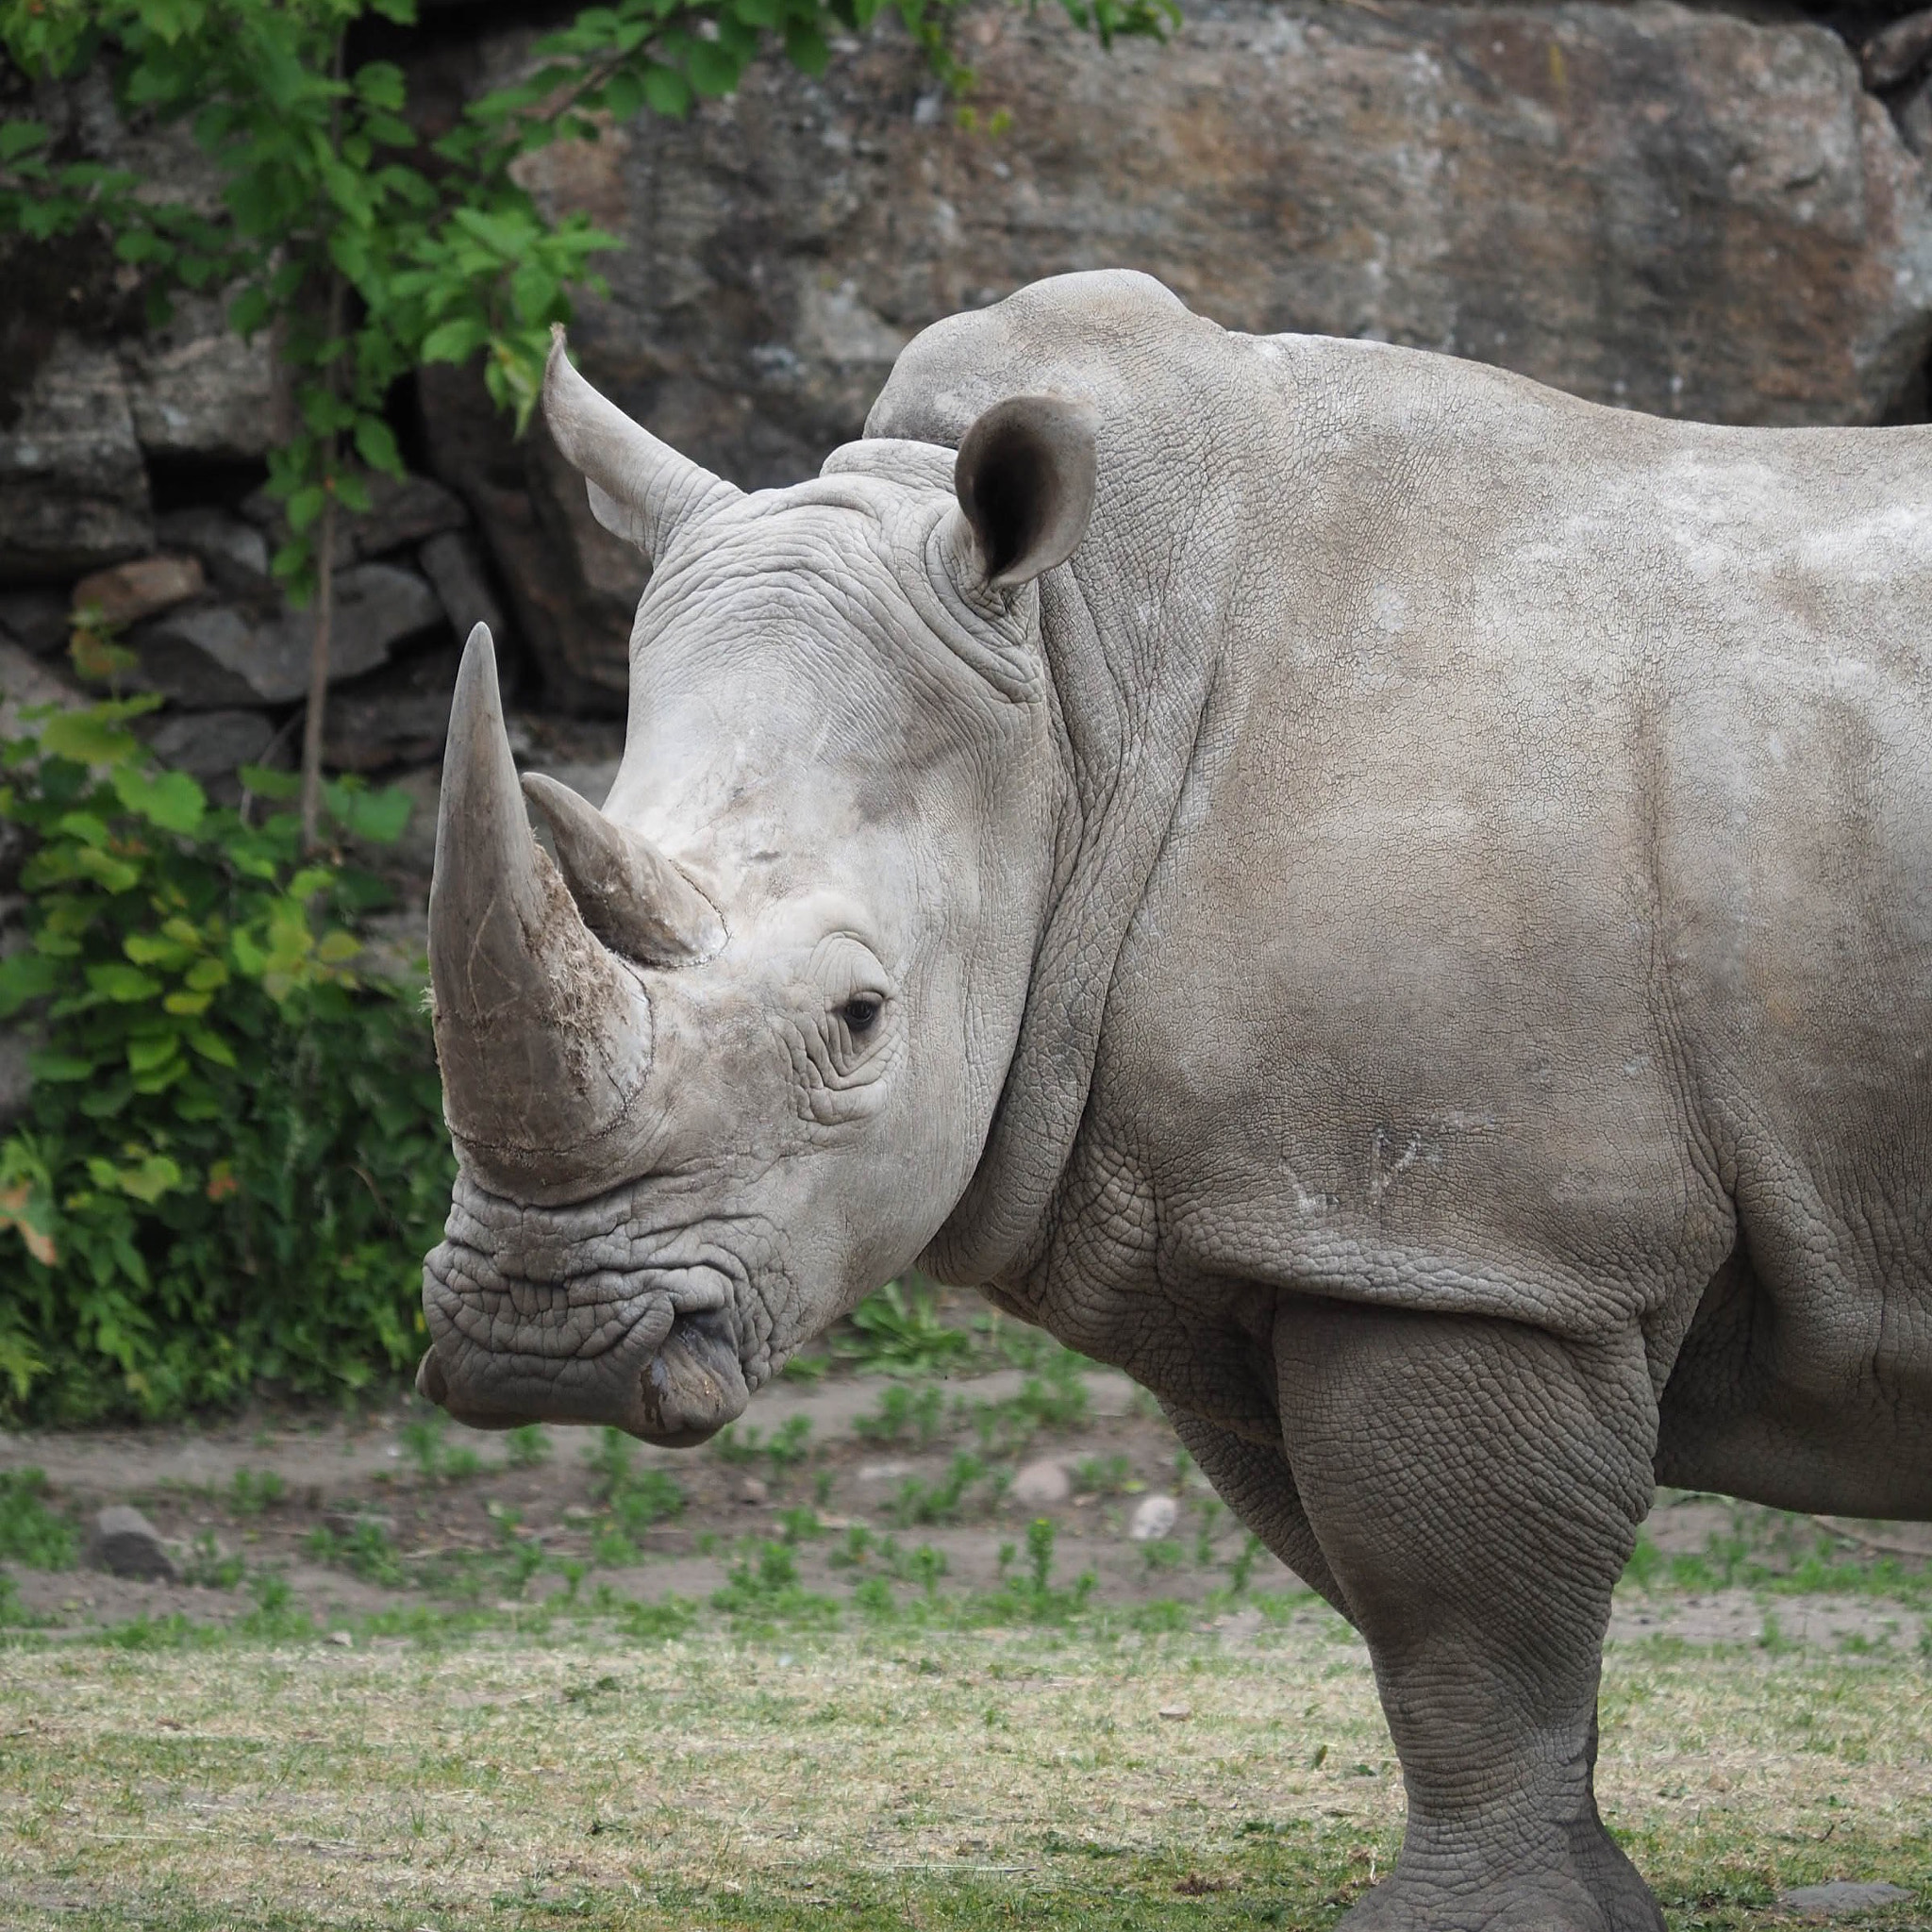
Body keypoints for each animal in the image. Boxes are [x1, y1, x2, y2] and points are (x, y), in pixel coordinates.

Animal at [414, 269, 1932, 1932]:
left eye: (858, 1021)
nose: (538, 1349)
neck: (1081, 694)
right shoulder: (1282, 1229)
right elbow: (1430, 1625)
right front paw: (1586, 1904)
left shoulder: (1476, 1247)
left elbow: (1464, 1622)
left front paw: (1472, 1923)